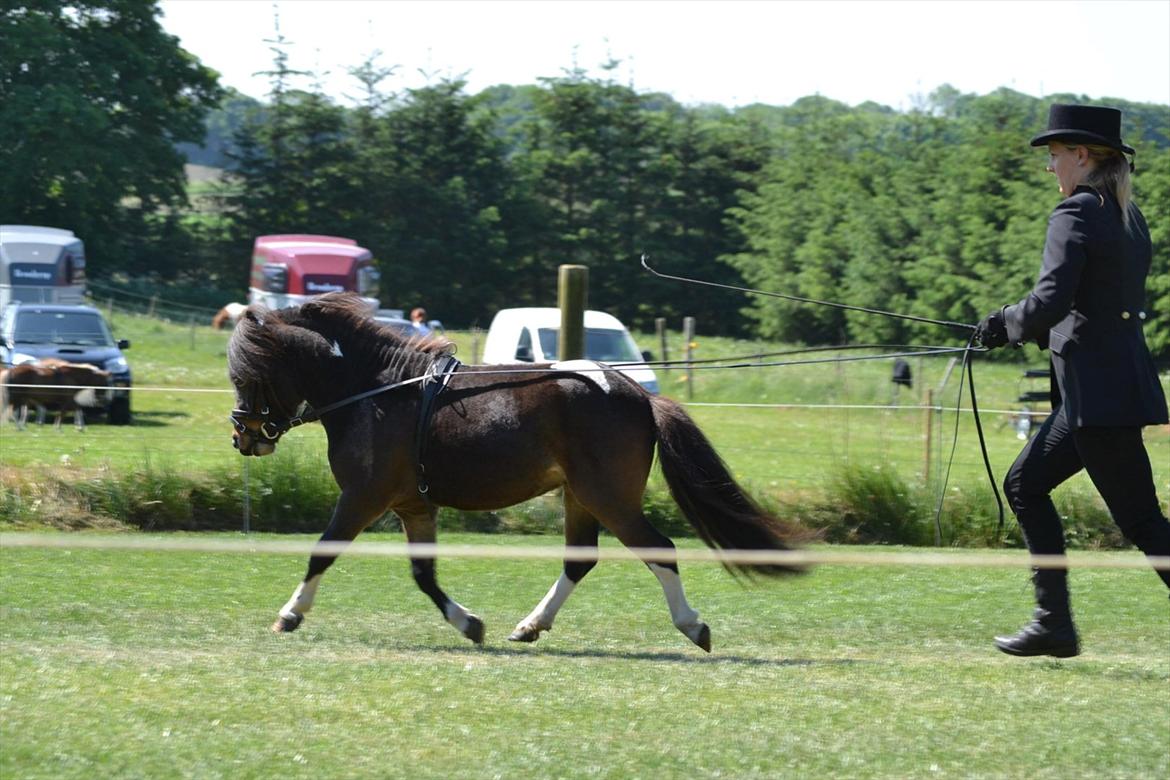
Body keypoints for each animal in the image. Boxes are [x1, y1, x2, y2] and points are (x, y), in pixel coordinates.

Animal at [225, 290, 804, 650]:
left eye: (247, 375)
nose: (243, 437)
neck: (377, 391)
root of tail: (637, 394)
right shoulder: (413, 505)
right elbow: (424, 574)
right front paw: (469, 624)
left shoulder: (363, 496)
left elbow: (321, 552)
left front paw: (289, 615)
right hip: (581, 496)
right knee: (580, 559)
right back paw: (530, 625)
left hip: (608, 496)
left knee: (658, 550)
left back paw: (691, 626)